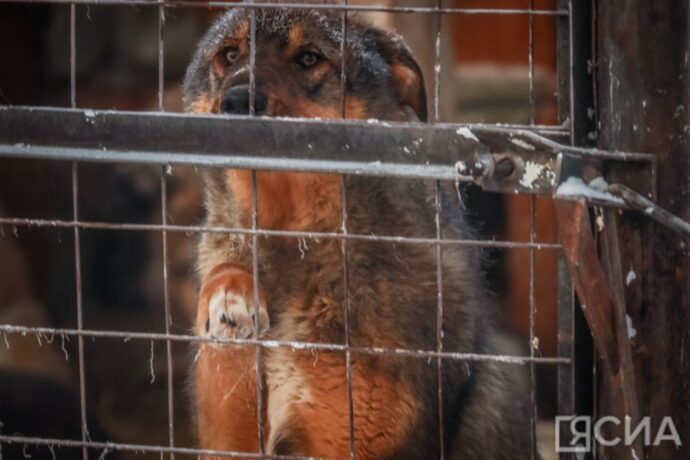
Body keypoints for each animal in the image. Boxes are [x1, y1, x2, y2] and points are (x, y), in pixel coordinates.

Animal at [183, 4, 532, 460]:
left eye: (309, 58)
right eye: (229, 54)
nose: (237, 101)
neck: (295, 239)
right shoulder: (229, 437)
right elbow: (229, 268)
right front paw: (229, 297)